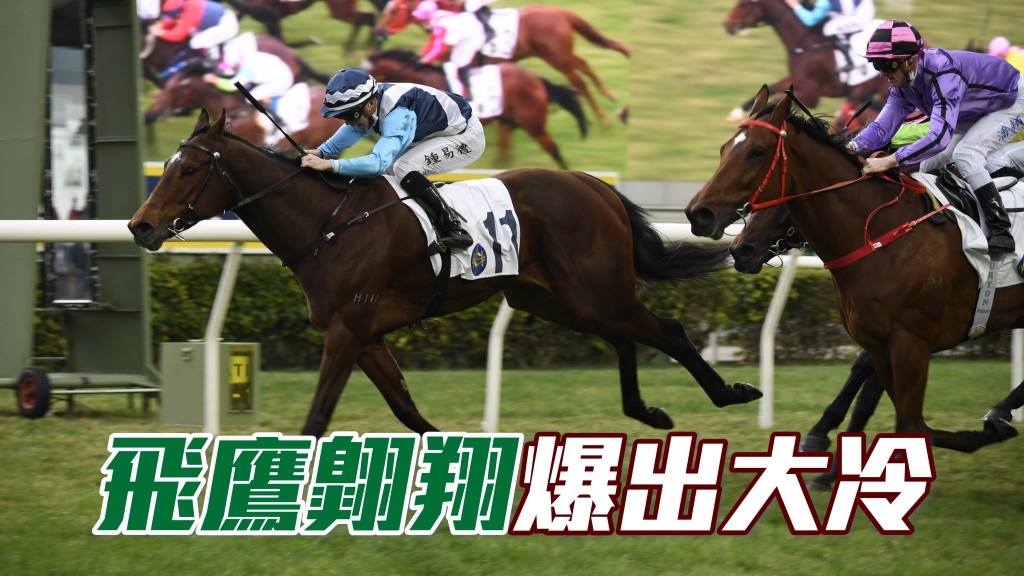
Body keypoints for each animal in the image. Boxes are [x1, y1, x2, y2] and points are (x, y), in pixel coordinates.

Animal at [128, 108, 763, 437]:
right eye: (171, 166)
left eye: (188, 170)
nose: (139, 225)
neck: (327, 224)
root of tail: (594, 185)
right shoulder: (364, 337)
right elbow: (407, 410)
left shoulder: (346, 332)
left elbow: (316, 418)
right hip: (553, 297)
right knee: (624, 337)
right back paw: (646, 410)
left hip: (592, 289)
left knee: (667, 330)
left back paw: (731, 391)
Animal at [373, 0, 629, 123]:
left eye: (394, 10)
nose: (378, 32)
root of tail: (562, 13)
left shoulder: (466, 64)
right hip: (561, 55)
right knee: (583, 64)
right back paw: (609, 96)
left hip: (557, 58)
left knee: (579, 80)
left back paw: (602, 117)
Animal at [684, 85, 1024, 453]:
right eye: (724, 149)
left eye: (756, 153)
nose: (699, 214)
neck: (882, 233)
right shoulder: (880, 345)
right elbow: (896, 410)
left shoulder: (911, 344)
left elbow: (911, 425)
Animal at [722, 0, 890, 130]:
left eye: (743, 4)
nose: (727, 24)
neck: (806, 43)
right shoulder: (795, 80)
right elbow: (773, 87)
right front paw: (735, 114)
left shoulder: (810, 95)